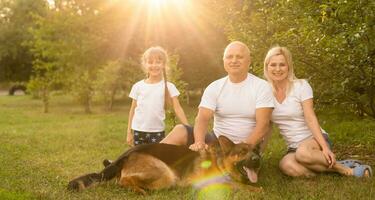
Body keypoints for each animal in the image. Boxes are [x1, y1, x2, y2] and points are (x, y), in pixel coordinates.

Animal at [67, 135, 262, 193]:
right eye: (242, 152)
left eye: (256, 151)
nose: (256, 160)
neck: (220, 164)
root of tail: (127, 155)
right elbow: (234, 185)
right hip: (166, 174)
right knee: (123, 181)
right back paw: (139, 191)